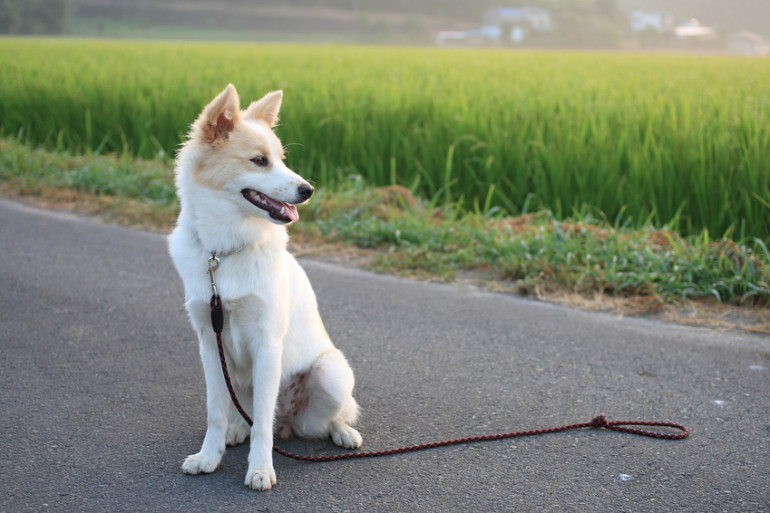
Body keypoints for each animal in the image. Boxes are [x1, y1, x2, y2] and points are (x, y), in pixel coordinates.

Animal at [168, 83, 360, 488]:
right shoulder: (210, 343)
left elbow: (263, 429)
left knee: (323, 419)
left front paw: (259, 469)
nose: (308, 189)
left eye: (282, 159)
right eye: (259, 161)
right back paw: (236, 430)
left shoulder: (267, 343)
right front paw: (209, 457)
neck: (224, 251)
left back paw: (343, 433)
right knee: (248, 415)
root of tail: (289, 422)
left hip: (331, 372)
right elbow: (215, 412)